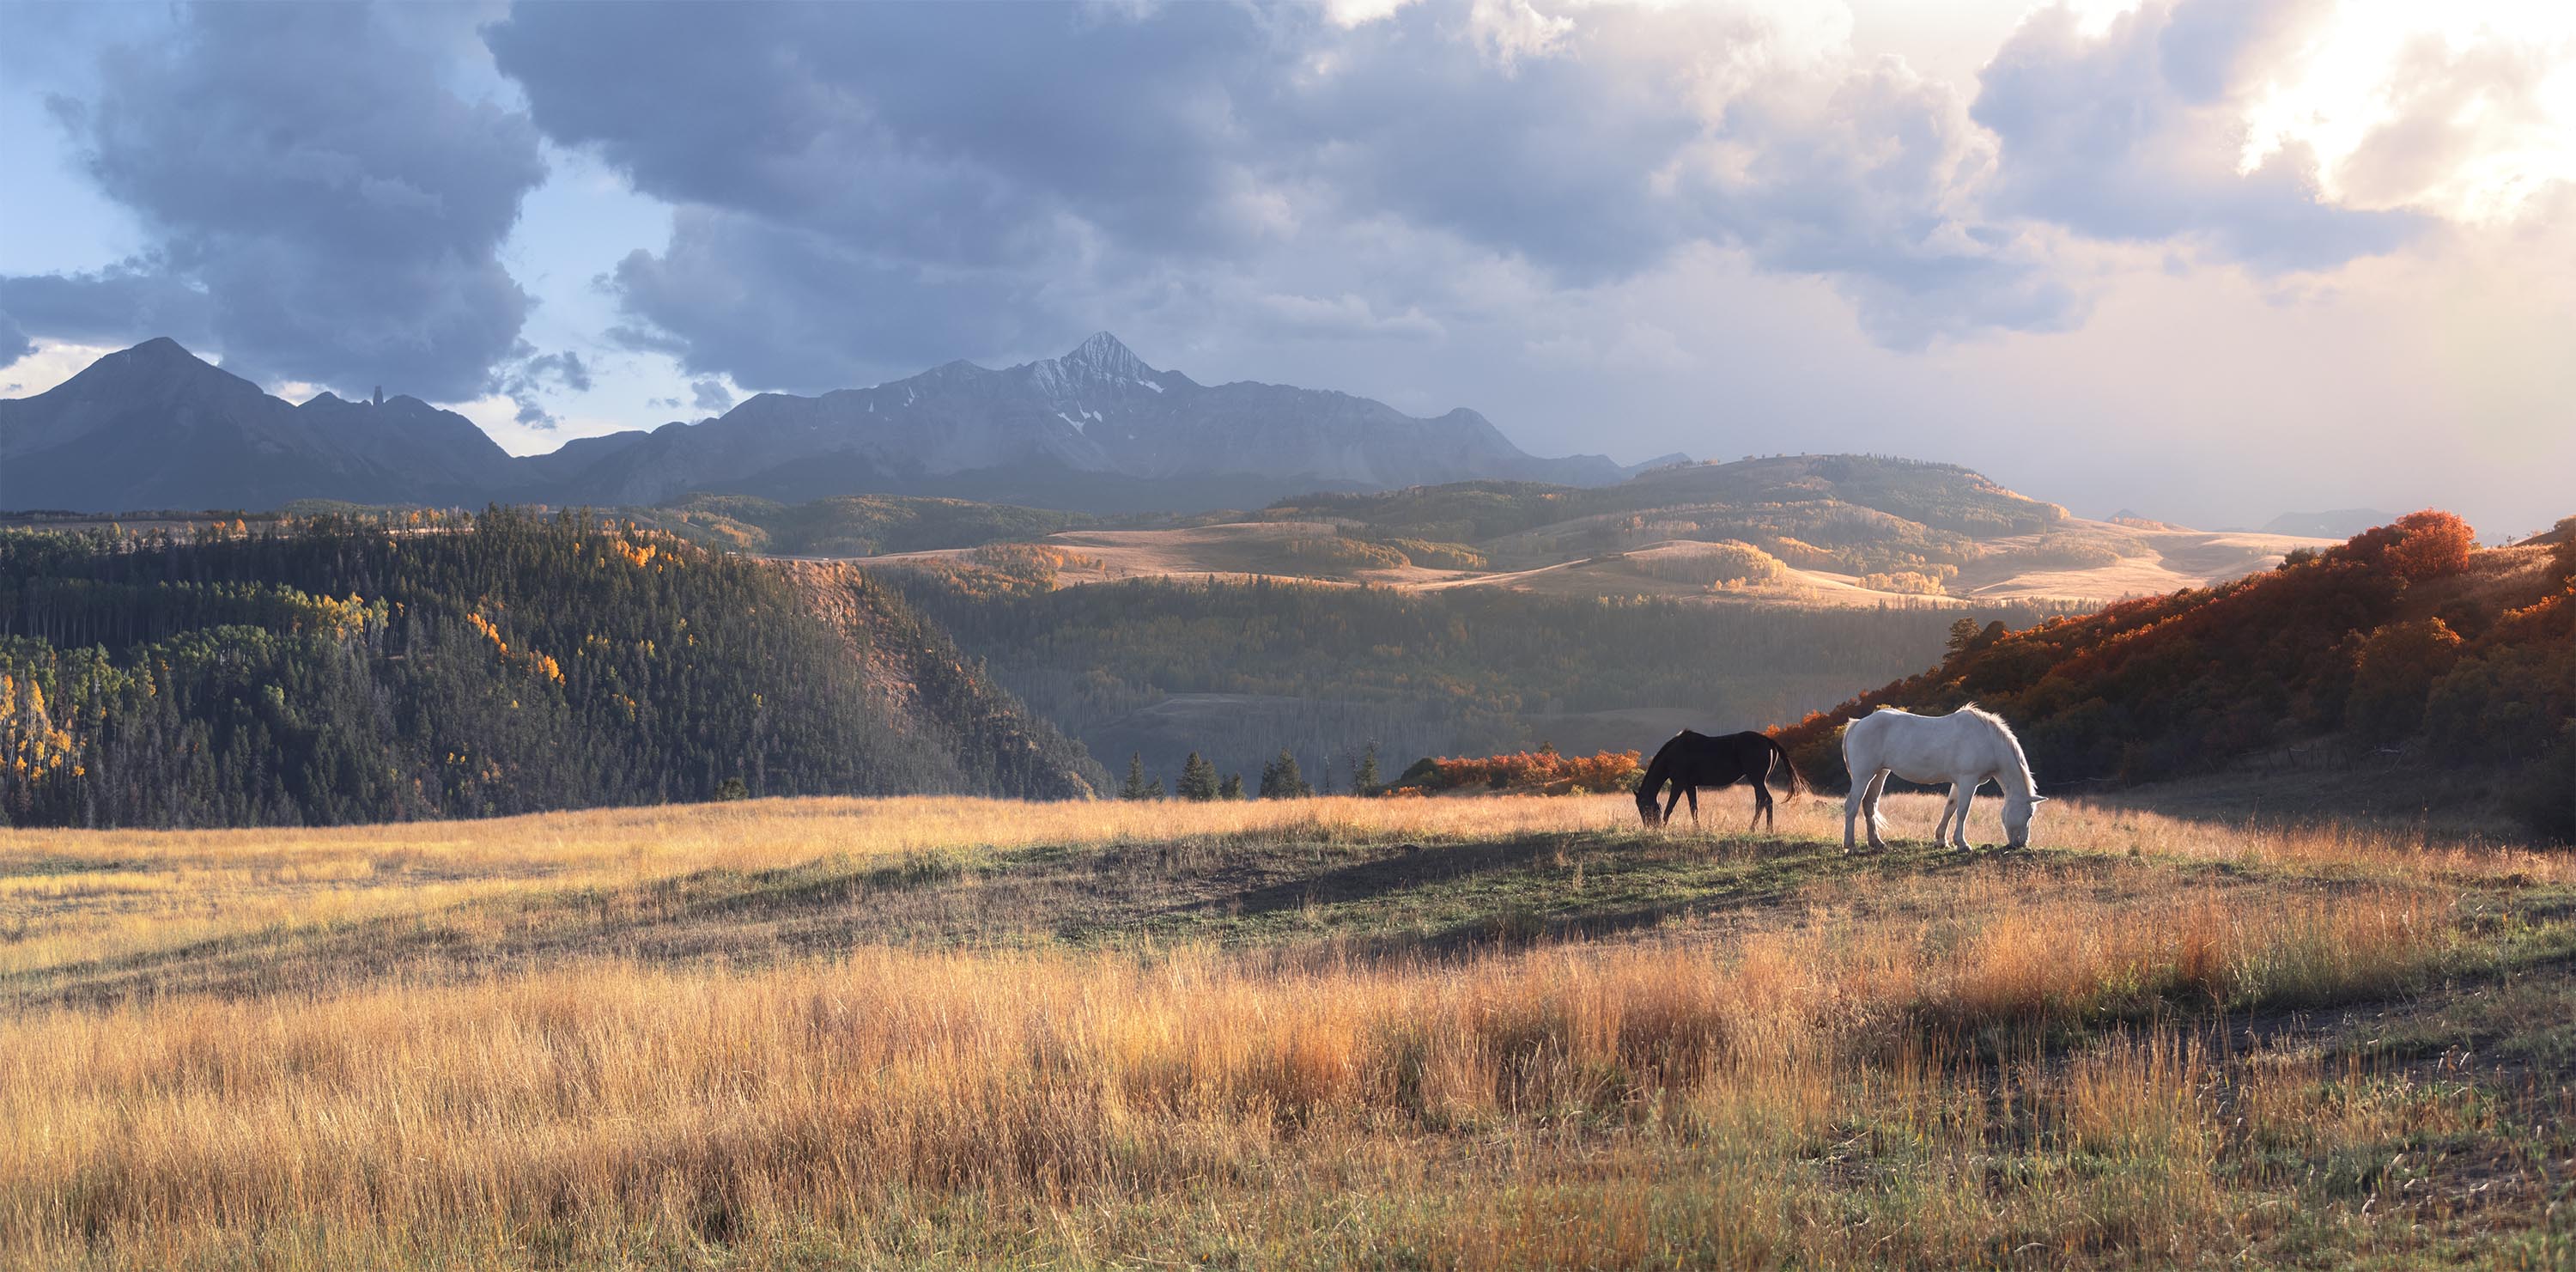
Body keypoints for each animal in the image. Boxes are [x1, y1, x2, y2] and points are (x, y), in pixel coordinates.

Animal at [1628, 731, 1814, 829]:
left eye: (1644, 807)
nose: (1650, 827)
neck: (1674, 753)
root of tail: (1768, 740)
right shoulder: (1690, 785)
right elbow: (1694, 808)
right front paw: (1697, 829)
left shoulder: (1679, 784)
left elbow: (1669, 808)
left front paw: (1664, 828)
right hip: (1759, 781)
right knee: (1761, 801)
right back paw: (1756, 828)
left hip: (1757, 780)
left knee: (1766, 800)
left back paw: (1764, 830)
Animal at [1844, 705, 2040, 855]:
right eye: (2029, 814)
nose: (2022, 844)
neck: (1988, 741)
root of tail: (1857, 723)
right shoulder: (1968, 781)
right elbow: (1962, 811)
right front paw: (1962, 844)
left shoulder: (1958, 783)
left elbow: (1950, 808)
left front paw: (1941, 840)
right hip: (1863, 776)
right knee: (1852, 805)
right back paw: (1851, 846)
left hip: (1879, 774)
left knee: (1869, 805)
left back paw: (1877, 843)